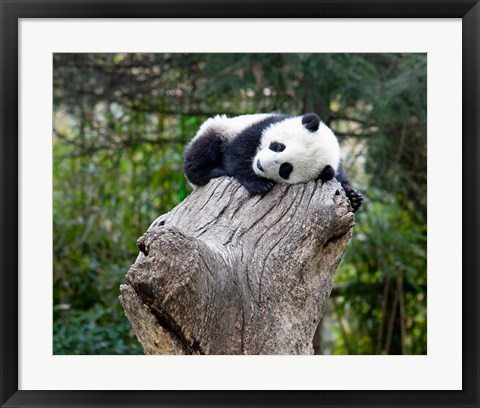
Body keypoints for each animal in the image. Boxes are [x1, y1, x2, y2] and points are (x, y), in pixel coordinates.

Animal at [184, 112, 364, 212]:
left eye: (286, 169)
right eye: (278, 146)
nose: (259, 165)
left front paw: (353, 197)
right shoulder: (263, 125)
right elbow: (237, 152)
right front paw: (259, 184)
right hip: (222, 126)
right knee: (203, 149)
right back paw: (213, 171)